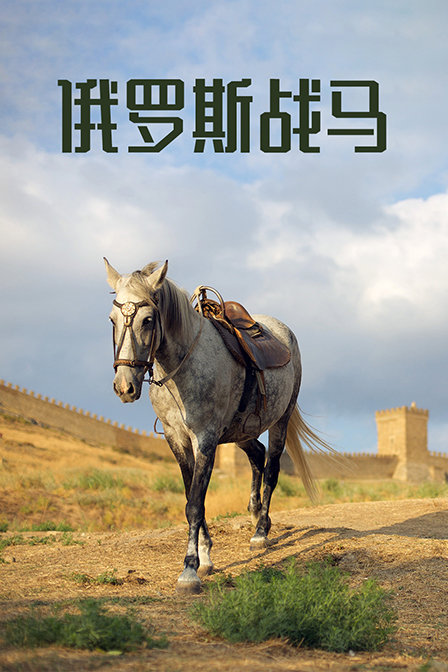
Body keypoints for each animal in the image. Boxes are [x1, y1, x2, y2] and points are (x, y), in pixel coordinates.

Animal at [104, 258, 329, 594]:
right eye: (112, 319)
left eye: (147, 320)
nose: (124, 386)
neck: (182, 368)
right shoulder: (177, 439)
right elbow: (191, 496)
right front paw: (205, 556)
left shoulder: (206, 439)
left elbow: (195, 504)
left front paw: (190, 569)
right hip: (242, 430)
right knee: (257, 454)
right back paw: (254, 511)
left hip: (280, 420)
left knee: (272, 468)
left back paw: (261, 531)